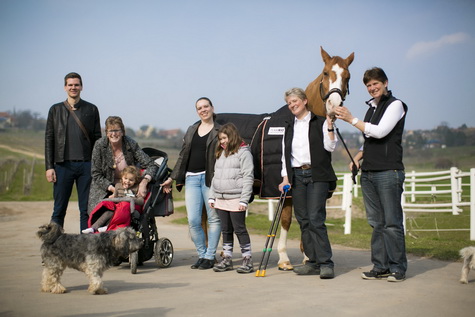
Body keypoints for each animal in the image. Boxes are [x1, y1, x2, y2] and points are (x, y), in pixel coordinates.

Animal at [276, 46, 354, 270]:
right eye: (326, 73)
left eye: (347, 76)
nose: (334, 105)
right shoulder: (286, 190)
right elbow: (286, 220)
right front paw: (283, 258)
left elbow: (311, 218)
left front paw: (308, 256)